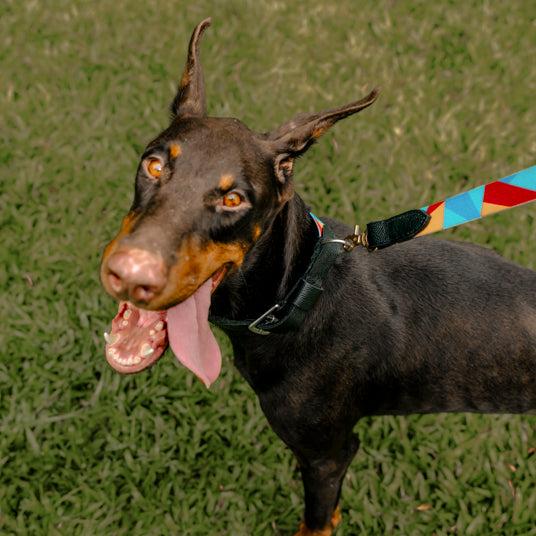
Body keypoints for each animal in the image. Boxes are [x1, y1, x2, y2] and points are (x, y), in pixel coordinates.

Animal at [100, 17, 536, 536]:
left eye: (233, 200)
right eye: (154, 164)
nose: (129, 275)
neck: (295, 292)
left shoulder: (326, 454)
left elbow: (316, 521)